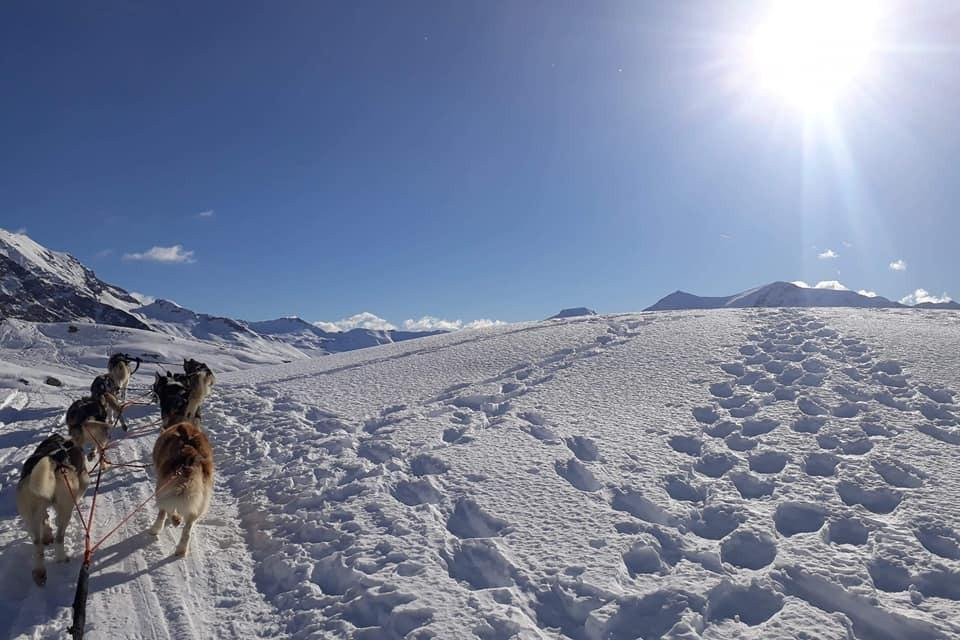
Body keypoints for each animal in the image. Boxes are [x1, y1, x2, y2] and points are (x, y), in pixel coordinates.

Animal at [16, 436, 89, 584]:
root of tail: (54, 463)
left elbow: (45, 519)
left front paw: (47, 533)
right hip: (65, 508)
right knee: (59, 537)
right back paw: (61, 558)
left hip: (30, 513)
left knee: (38, 545)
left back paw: (39, 572)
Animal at [148, 420, 214, 556]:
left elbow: (162, 512)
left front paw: (158, 527)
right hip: (200, 503)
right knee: (187, 530)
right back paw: (181, 549)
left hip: (162, 488)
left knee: (166, 508)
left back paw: (169, 522)